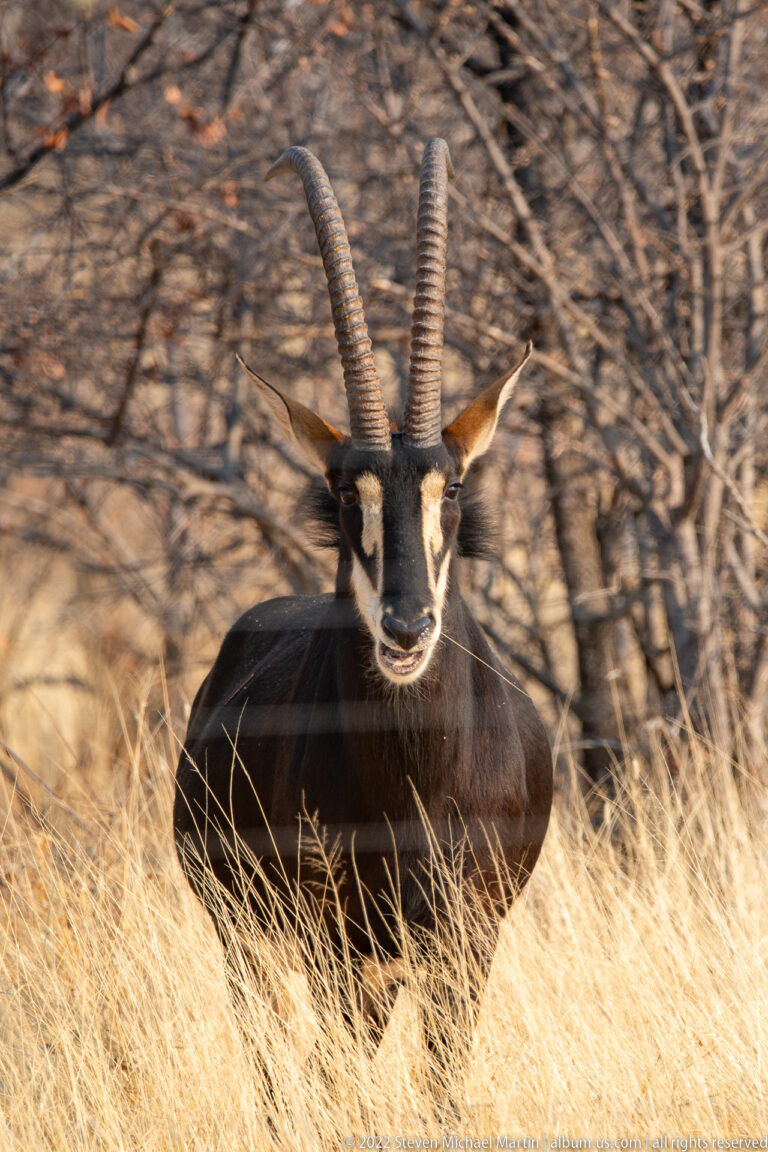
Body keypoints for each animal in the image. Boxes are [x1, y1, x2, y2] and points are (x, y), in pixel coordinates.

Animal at [174, 139, 552, 1101]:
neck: (413, 772)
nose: (407, 628)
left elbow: (442, 1091)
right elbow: (329, 1082)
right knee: (282, 1073)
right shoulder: (331, 940)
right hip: (260, 943)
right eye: (347, 492)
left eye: (450, 487)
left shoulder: (466, 945)